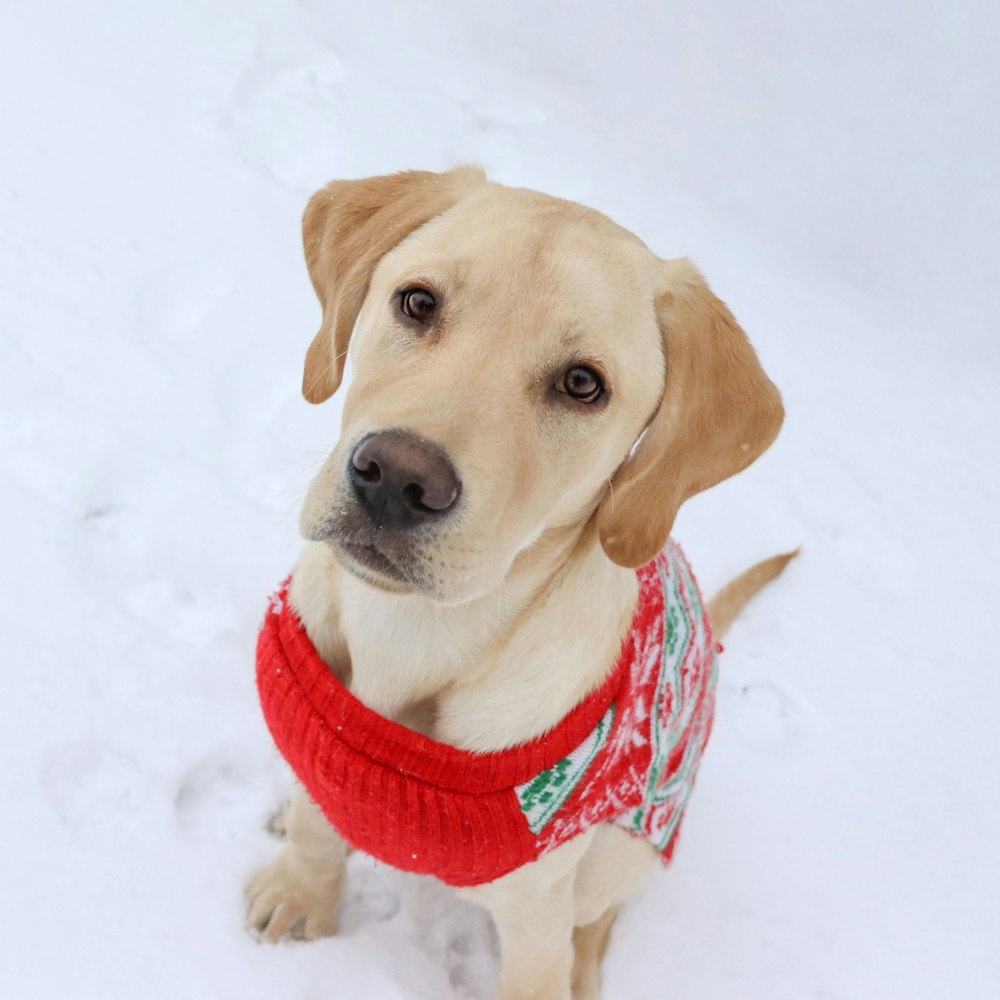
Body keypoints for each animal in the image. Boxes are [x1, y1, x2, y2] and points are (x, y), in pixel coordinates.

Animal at [244, 170, 788, 1000]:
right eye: (418, 302)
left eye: (582, 384)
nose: (396, 478)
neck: (409, 635)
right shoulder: (317, 732)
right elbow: (315, 827)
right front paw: (301, 895)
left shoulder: (535, 921)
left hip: (615, 858)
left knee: (595, 925)